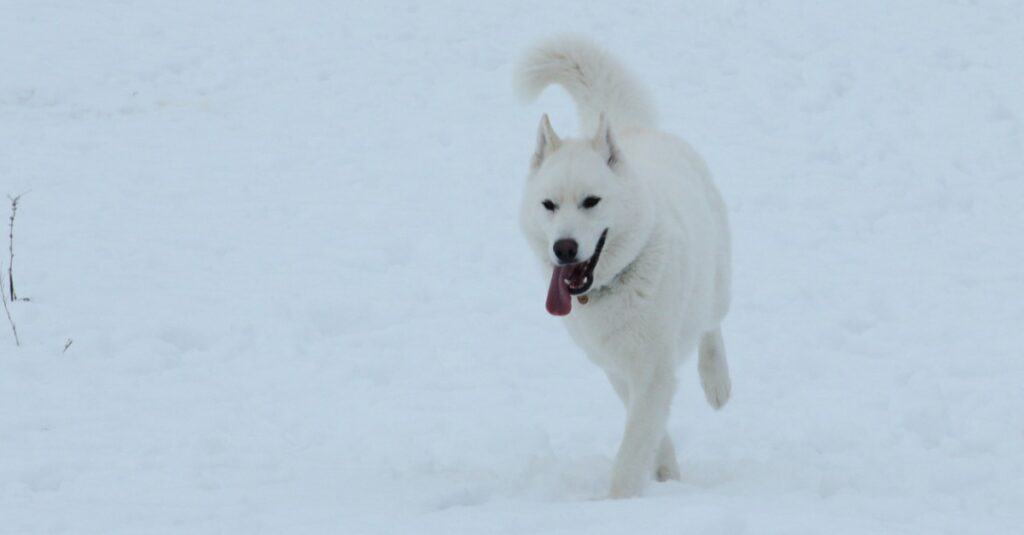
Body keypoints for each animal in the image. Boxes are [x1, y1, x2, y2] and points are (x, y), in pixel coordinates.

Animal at [516, 36, 733, 496]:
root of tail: (630, 128)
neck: (616, 284)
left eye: (591, 201)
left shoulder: (652, 372)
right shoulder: (620, 371)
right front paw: (665, 474)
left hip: (719, 282)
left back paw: (717, 382)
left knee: (712, 323)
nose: (564, 248)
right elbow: (651, 432)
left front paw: (622, 502)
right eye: (549, 205)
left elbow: (631, 454)